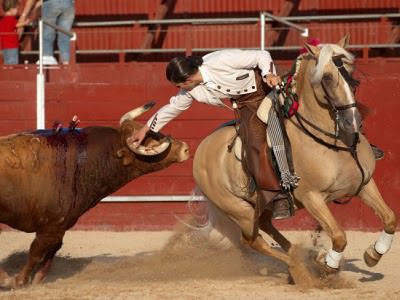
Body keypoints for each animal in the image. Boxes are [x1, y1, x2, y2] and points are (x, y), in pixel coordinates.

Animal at [0, 102, 189, 288]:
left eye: (155, 132)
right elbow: (36, 252)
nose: (185, 148)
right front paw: (19, 281)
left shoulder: (60, 226)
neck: (79, 162)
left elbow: (51, 252)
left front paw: (38, 279)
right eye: (148, 142)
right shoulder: (51, 227)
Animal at [192, 35, 396, 282]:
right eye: (327, 77)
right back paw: (299, 267)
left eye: (350, 70)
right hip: (238, 209)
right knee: (252, 240)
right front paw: (328, 266)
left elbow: (390, 218)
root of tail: (201, 149)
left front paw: (372, 255)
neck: (335, 144)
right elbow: (339, 235)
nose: (352, 121)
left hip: (262, 204)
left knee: (265, 225)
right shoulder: (312, 197)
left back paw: (300, 258)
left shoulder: (364, 184)